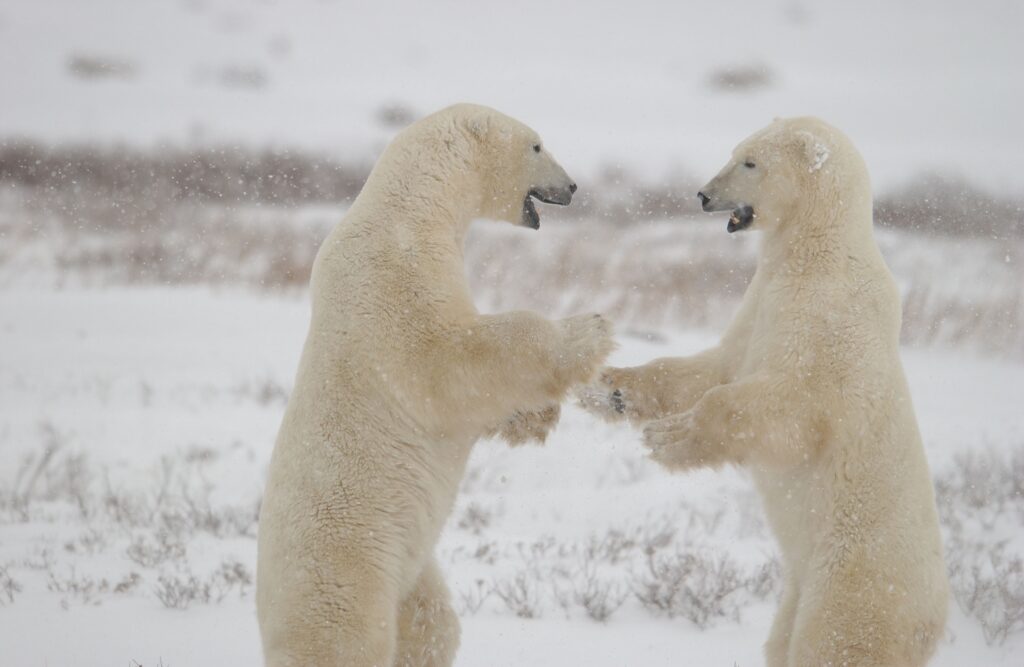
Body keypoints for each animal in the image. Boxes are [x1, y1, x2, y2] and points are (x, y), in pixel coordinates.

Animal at [260, 104, 614, 667]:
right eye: (537, 145)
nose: (574, 186)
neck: (409, 207)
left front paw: (537, 417)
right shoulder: (392, 274)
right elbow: (449, 358)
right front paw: (591, 329)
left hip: (411, 563)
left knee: (431, 624)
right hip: (347, 565)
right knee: (346, 640)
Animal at [581, 119, 946, 667]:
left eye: (750, 162)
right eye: (735, 151)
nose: (703, 194)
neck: (816, 257)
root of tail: (935, 620)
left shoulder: (830, 327)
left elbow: (789, 408)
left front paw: (668, 437)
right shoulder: (760, 304)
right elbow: (716, 367)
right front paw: (607, 388)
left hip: (856, 580)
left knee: (833, 642)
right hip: (800, 583)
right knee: (784, 639)